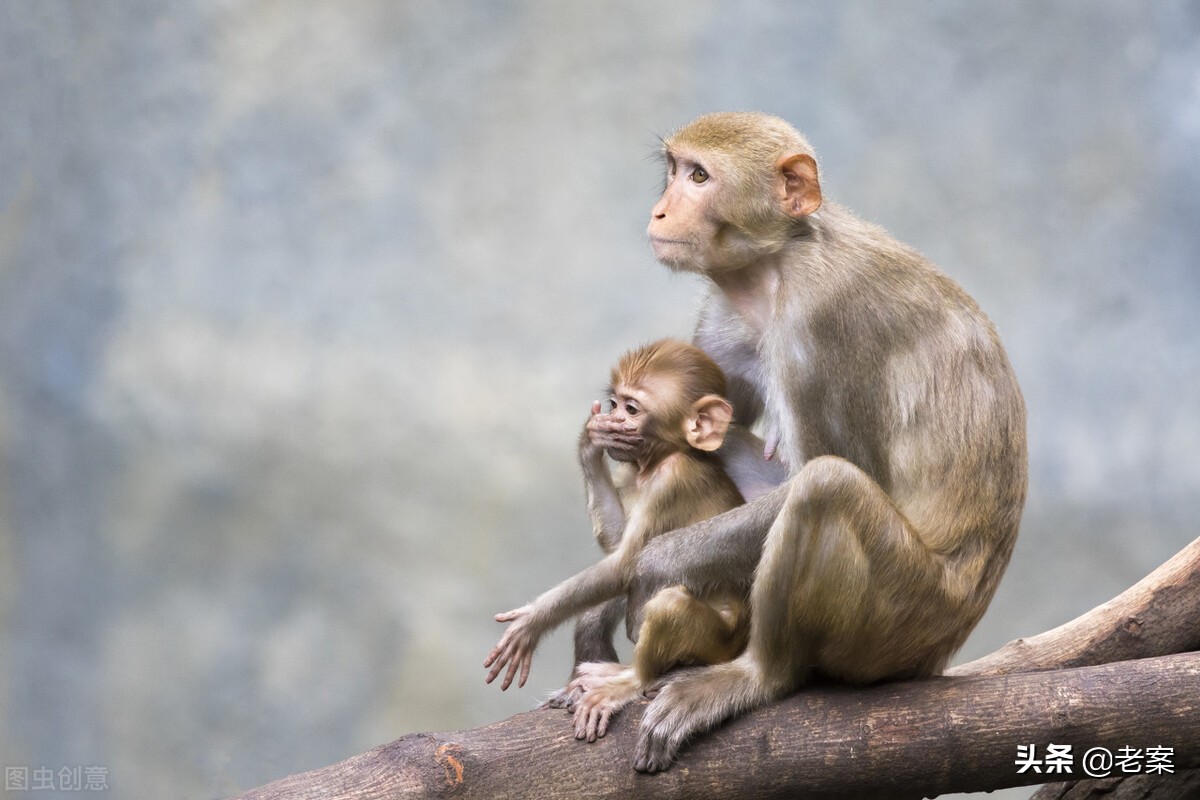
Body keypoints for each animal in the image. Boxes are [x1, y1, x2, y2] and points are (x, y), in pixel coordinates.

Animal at [482, 335, 744, 738]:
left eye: (632, 409)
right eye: (614, 404)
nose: (614, 418)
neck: (655, 463)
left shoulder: (673, 481)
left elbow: (626, 565)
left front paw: (531, 623)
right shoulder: (630, 473)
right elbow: (619, 546)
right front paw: (589, 442)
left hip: (721, 644)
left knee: (669, 605)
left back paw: (629, 680)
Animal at [585, 109, 1027, 772]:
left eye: (699, 177)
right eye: (673, 171)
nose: (661, 211)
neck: (776, 265)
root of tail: (941, 652)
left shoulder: (822, 320)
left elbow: (833, 465)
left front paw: (646, 571)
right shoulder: (724, 310)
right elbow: (704, 423)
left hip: (901, 620)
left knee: (826, 487)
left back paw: (757, 676)